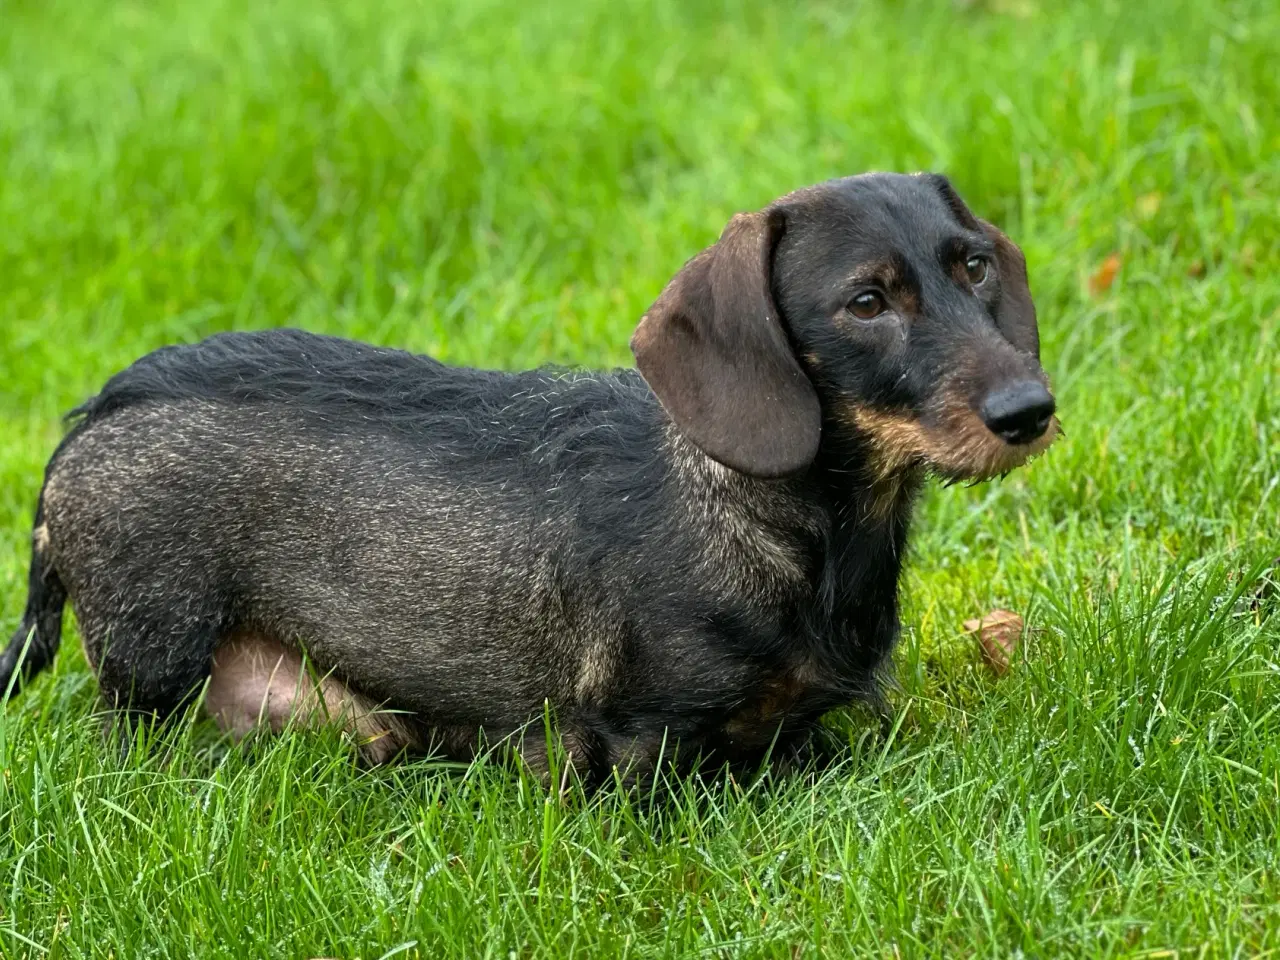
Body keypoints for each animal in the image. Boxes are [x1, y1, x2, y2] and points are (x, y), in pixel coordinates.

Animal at [0, 175, 1054, 788]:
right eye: (867, 301)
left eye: (973, 265)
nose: (1030, 410)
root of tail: (93, 417)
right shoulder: (638, 741)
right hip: (154, 660)